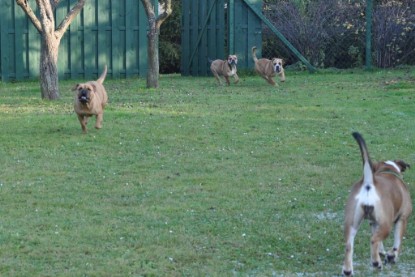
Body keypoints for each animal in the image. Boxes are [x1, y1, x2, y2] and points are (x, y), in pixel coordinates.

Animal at [342, 132, 412, 274]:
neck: (388, 170)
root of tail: (369, 182)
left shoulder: (373, 222)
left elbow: (379, 243)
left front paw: (382, 252)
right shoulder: (402, 219)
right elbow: (397, 242)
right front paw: (392, 256)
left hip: (352, 223)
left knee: (349, 245)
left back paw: (348, 270)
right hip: (387, 224)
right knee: (373, 240)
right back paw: (376, 263)